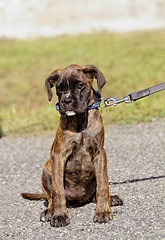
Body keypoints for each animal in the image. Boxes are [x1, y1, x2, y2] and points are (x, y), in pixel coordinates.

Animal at [21, 64, 122, 228]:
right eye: (59, 89)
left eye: (80, 85)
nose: (67, 100)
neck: (80, 120)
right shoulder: (59, 155)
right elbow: (58, 191)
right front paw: (59, 215)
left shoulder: (100, 153)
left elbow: (102, 185)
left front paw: (102, 211)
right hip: (46, 168)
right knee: (50, 198)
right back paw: (49, 212)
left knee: (94, 194)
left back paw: (111, 199)